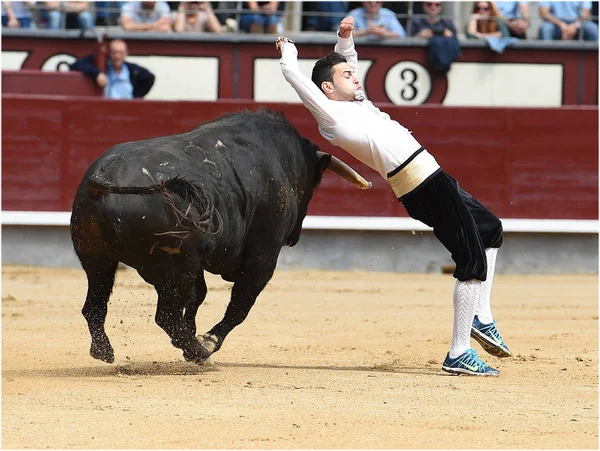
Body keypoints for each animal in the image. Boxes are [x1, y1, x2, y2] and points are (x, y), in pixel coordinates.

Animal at [70, 108, 370, 364]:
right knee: (166, 316)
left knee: (94, 305)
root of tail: (104, 177)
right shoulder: (263, 255)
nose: (293, 237)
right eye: (313, 185)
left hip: (98, 259)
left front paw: (193, 334)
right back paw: (198, 352)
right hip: (172, 268)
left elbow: (199, 295)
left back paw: (105, 350)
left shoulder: (198, 260)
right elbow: (241, 303)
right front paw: (208, 340)